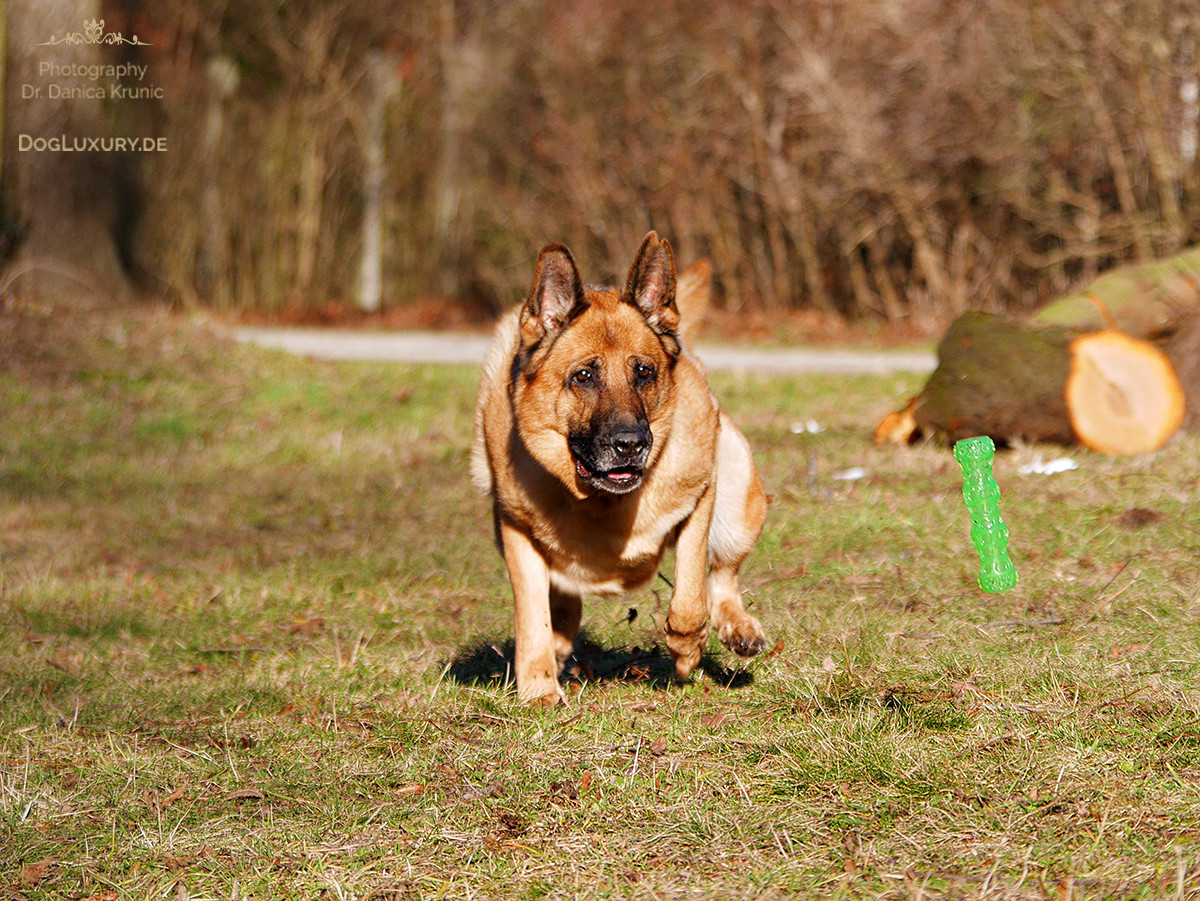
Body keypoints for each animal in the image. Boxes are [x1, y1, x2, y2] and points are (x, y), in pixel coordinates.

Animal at [470, 230, 768, 705]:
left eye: (643, 372)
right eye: (583, 376)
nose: (631, 445)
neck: (599, 504)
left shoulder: (701, 497)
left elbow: (690, 598)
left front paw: (687, 653)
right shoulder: (515, 531)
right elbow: (533, 618)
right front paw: (538, 688)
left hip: (739, 502)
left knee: (722, 575)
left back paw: (737, 627)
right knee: (562, 606)